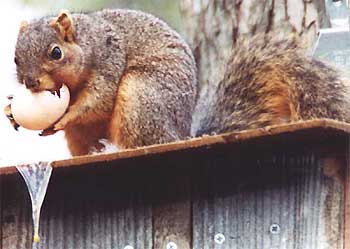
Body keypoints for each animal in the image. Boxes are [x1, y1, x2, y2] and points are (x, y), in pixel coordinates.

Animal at [4, 9, 350, 156]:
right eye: (16, 58)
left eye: (56, 53)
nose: (31, 83)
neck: (86, 43)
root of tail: (181, 135)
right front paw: (10, 111)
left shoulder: (108, 62)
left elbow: (97, 100)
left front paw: (64, 116)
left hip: (141, 97)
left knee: (146, 141)